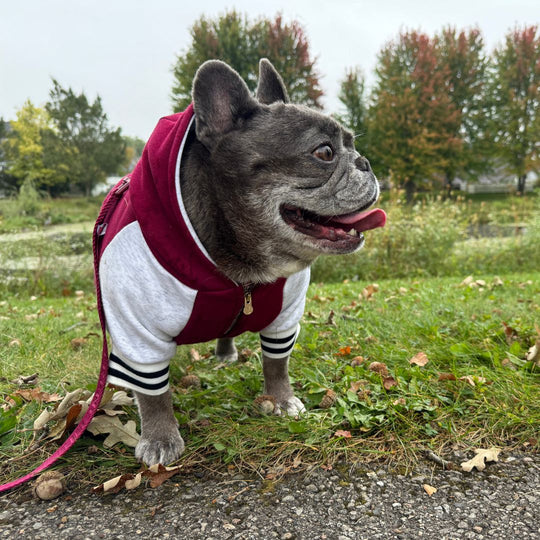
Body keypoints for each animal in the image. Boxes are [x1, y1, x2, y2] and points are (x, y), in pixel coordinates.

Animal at [96, 58, 384, 464]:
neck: (239, 267)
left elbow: (277, 363)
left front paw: (282, 400)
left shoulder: (285, 314)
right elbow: (153, 393)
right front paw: (160, 437)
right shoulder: (137, 333)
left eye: (352, 144)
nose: (365, 161)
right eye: (325, 152)